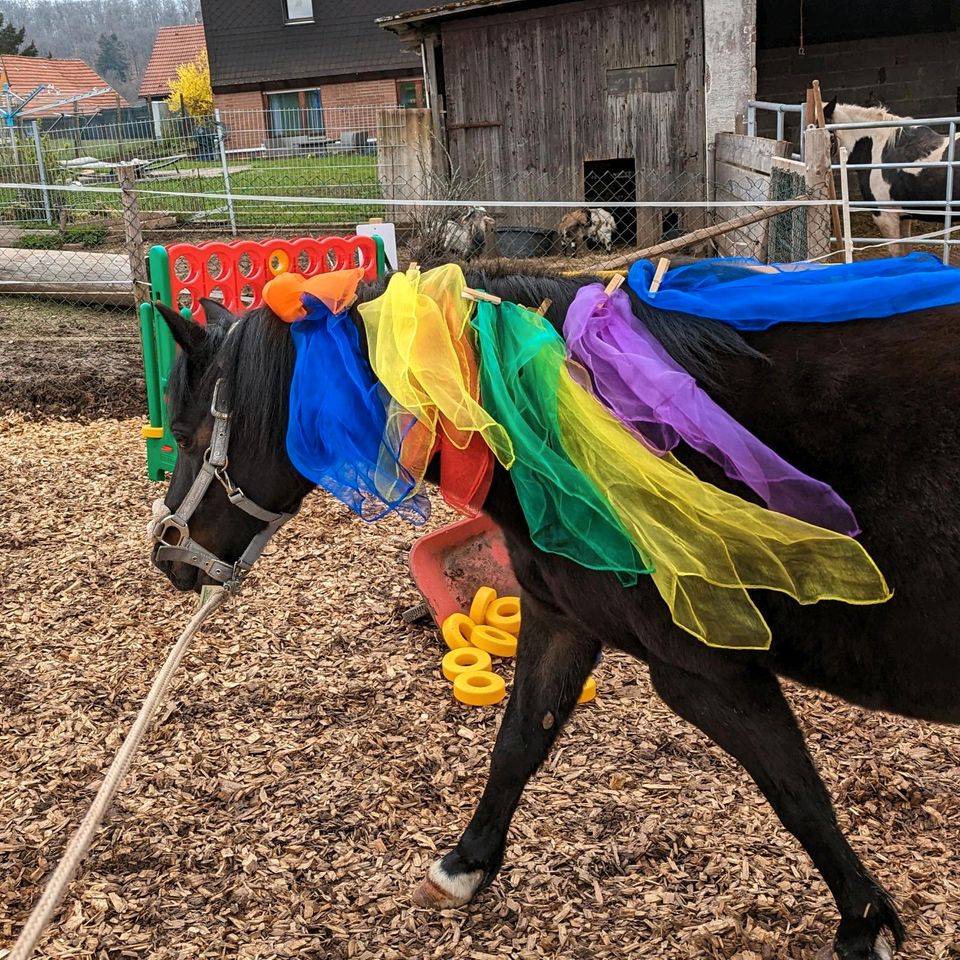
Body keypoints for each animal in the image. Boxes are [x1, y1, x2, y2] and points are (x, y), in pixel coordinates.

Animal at [150, 266, 960, 960]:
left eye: (189, 436)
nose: (169, 558)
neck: (555, 410)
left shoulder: (706, 674)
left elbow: (798, 792)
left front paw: (864, 922)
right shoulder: (559, 623)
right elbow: (518, 742)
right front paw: (464, 866)